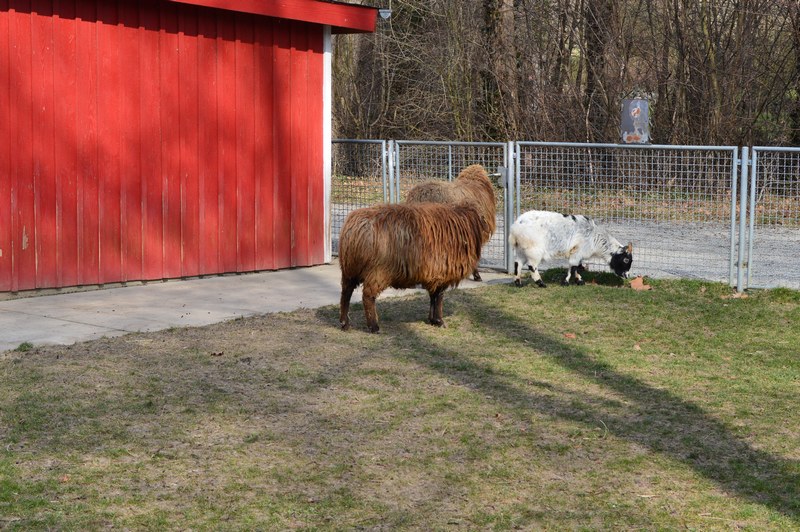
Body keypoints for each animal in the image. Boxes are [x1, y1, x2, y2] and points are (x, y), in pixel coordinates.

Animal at [338, 201, 488, 332]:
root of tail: (356, 228)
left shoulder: (433, 275)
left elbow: (433, 296)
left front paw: (432, 319)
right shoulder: (441, 274)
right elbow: (439, 297)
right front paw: (439, 321)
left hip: (349, 269)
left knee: (346, 293)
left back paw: (345, 323)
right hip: (377, 272)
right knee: (367, 296)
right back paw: (374, 327)